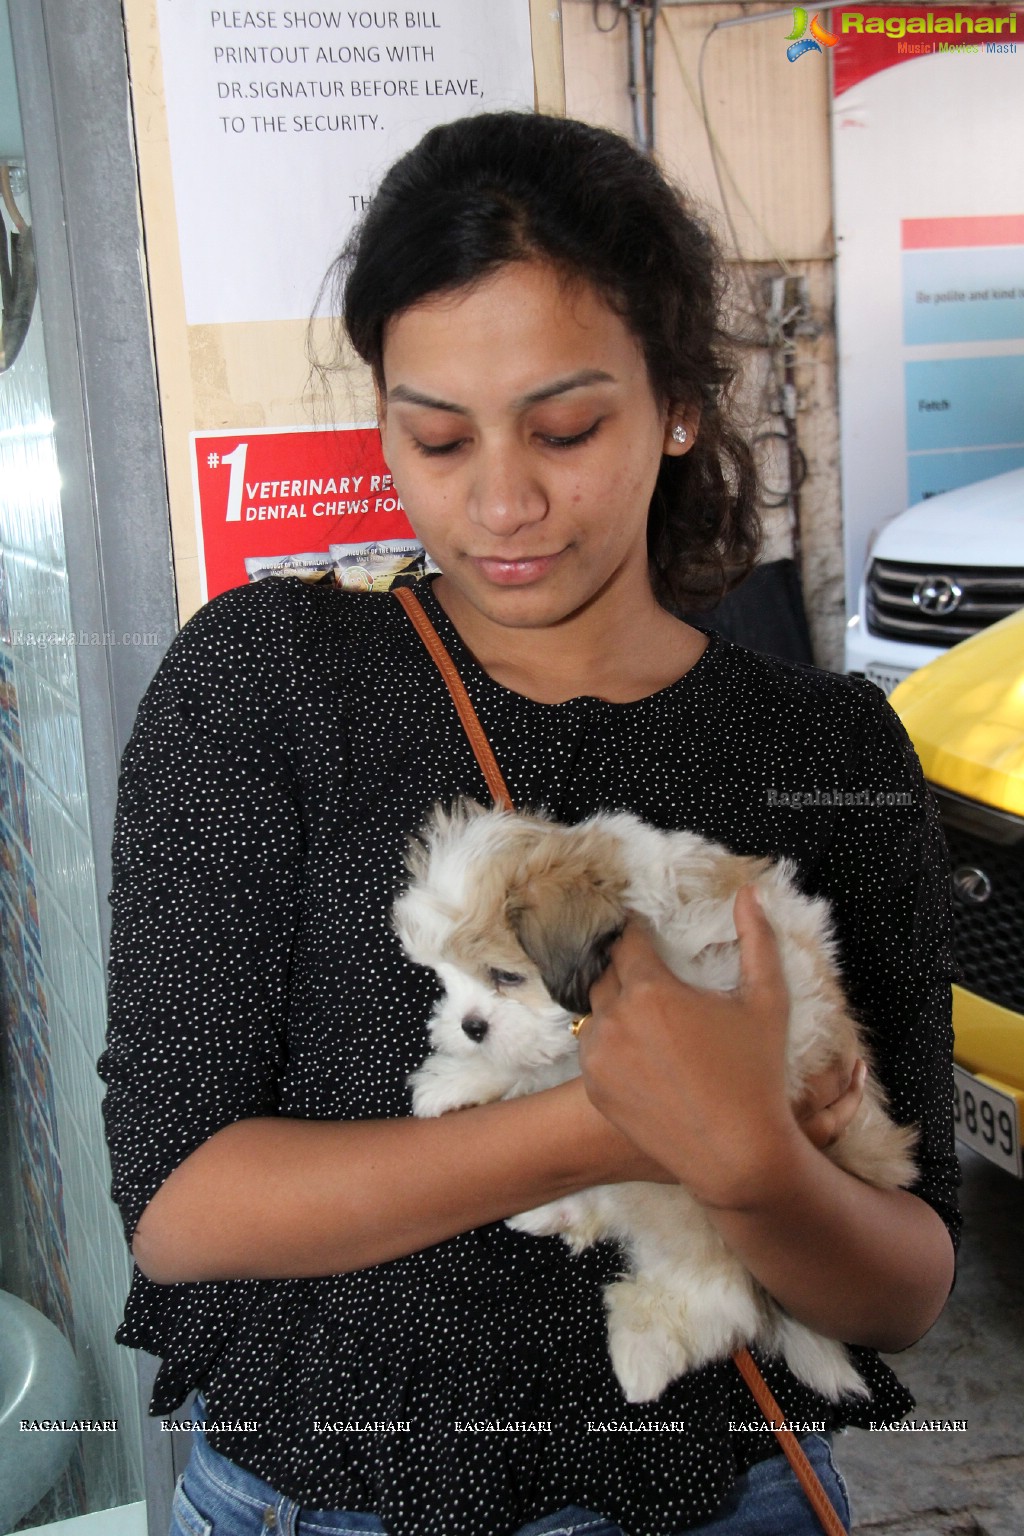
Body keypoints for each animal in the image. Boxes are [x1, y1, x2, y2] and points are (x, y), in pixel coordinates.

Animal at [389, 798, 914, 1406]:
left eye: (504, 975)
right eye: (444, 978)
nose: (469, 1026)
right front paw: (455, 1080)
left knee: (715, 1298)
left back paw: (641, 1352)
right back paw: (553, 1212)